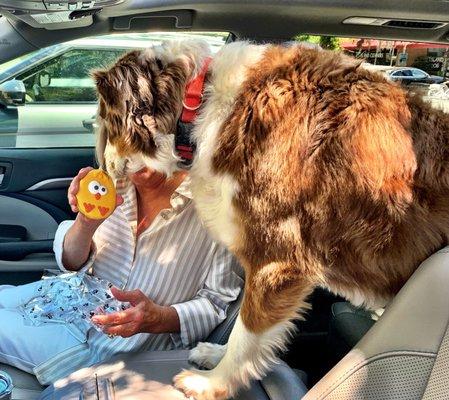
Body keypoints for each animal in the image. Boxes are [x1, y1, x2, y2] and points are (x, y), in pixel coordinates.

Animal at [91, 41, 448, 400]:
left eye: (106, 117)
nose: (103, 167)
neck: (200, 101)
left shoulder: (277, 259)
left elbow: (247, 332)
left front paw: (212, 383)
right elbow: (241, 324)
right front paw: (214, 355)